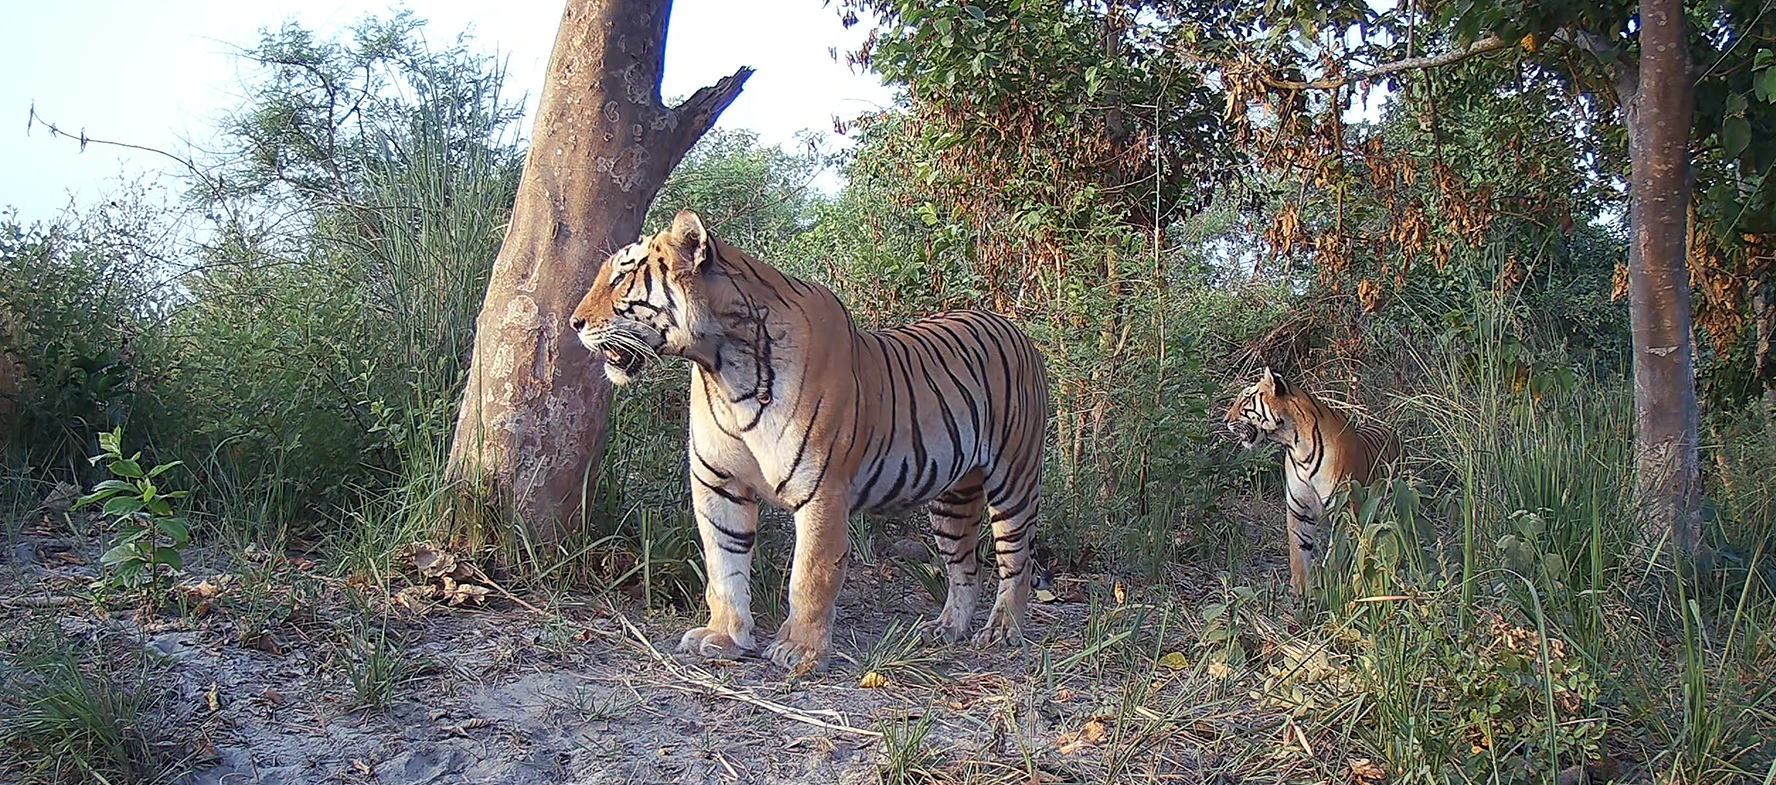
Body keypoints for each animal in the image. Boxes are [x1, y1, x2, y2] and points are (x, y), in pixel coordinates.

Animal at [570, 210, 1051, 670]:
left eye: (620, 278)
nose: (574, 323)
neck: (723, 367)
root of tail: (1013, 328)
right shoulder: (717, 483)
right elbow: (723, 564)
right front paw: (725, 637)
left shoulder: (821, 489)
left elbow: (811, 574)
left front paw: (799, 651)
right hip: (952, 499)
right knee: (965, 567)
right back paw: (947, 628)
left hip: (1013, 480)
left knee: (1015, 561)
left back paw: (1002, 630)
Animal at [1226, 367, 1401, 594]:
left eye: (1246, 399)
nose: (1225, 420)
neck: (1297, 446)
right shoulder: (1298, 509)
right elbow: (1298, 552)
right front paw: (1299, 590)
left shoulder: (1342, 510)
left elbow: (1335, 554)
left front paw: (1330, 585)